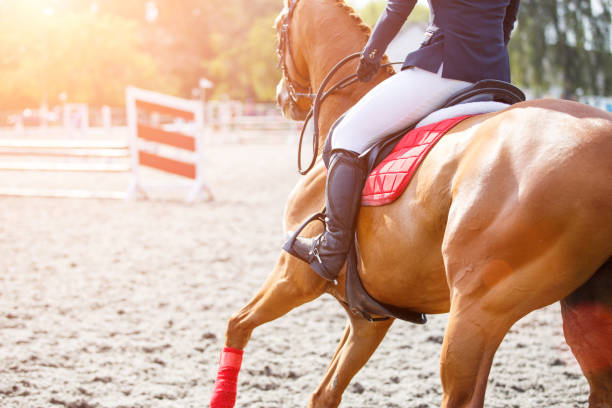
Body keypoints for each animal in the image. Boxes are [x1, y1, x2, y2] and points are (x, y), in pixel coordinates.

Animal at [212, 0, 612, 408]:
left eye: (279, 28)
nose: (281, 98)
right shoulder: (368, 317)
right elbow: (324, 394)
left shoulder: (293, 277)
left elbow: (236, 324)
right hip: (585, 314)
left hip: (477, 312)